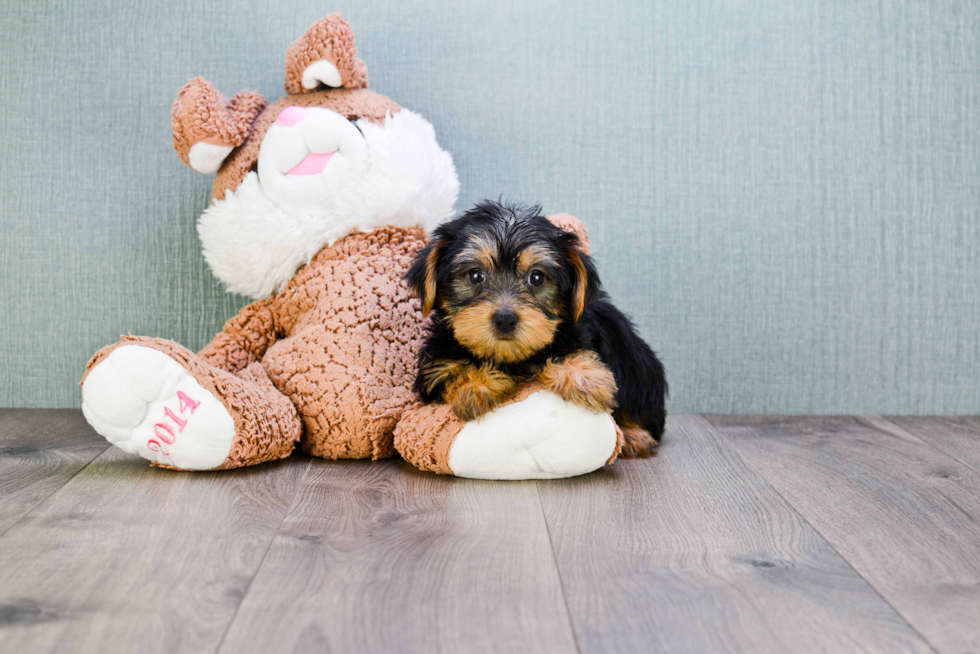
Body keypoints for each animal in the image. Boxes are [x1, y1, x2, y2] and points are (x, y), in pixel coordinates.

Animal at [404, 200, 668, 456]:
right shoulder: (434, 370)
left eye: (537, 278)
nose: (505, 319)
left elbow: (571, 351)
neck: (510, 359)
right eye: (475, 276)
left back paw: (635, 435)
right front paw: (475, 387)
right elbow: (454, 373)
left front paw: (584, 378)